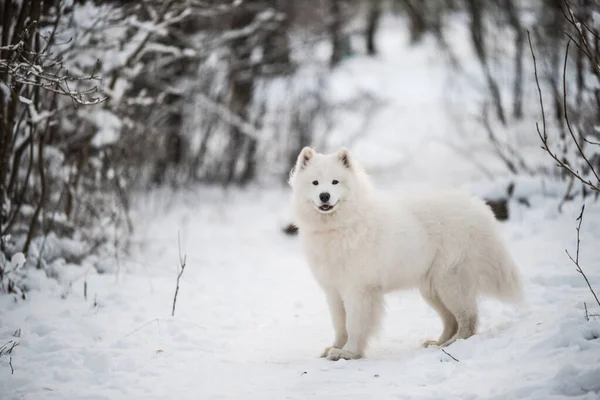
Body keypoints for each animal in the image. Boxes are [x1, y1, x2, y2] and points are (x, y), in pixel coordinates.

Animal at [288, 145, 524, 360]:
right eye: (315, 183)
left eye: (335, 182)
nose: (324, 196)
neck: (341, 225)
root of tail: (478, 207)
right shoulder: (333, 291)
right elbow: (339, 324)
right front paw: (335, 347)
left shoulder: (359, 289)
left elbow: (354, 324)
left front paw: (348, 352)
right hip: (432, 289)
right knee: (451, 320)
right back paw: (438, 343)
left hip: (450, 282)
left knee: (468, 319)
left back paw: (454, 344)